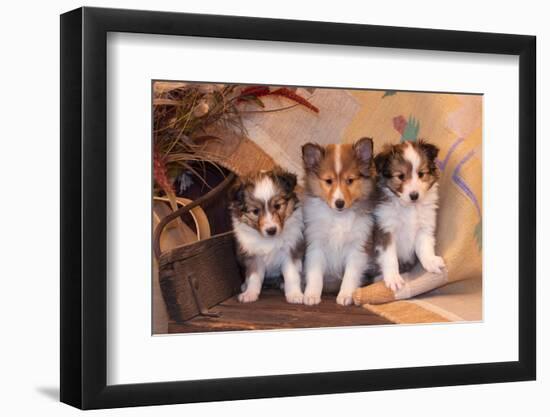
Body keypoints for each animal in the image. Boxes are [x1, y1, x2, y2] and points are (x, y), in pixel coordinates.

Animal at [229, 168, 306, 302]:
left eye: (278, 206)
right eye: (255, 211)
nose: (271, 230)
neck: (269, 240)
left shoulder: (291, 250)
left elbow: (292, 275)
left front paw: (295, 295)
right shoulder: (253, 256)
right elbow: (254, 277)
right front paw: (250, 294)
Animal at [302, 138, 380, 304]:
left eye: (350, 180)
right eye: (328, 181)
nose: (339, 203)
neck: (339, 217)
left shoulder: (358, 248)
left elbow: (350, 275)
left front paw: (346, 295)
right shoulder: (315, 245)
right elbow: (315, 274)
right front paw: (311, 295)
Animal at [376, 138, 448, 290]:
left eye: (421, 174)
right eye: (400, 176)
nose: (414, 195)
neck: (409, 207)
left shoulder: (424, 226)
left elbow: (425, 246)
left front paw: (431, 261)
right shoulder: (385, 229)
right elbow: (390, 257)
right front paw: (393, 278)